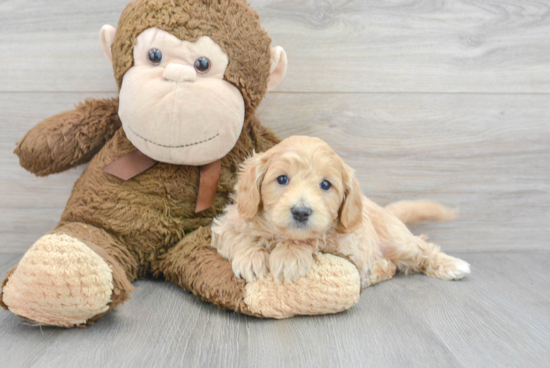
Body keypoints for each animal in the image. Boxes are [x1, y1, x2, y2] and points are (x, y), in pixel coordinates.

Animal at [211, 137, 470, 286]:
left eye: (326, 184)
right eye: (282, 179)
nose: (301, 212)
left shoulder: (342, 242)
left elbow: (313, 239)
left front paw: (288, 256)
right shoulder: (226, 225)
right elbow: (237, 236)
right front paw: (251, 257)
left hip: (398, 242)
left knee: (423, 247)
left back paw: (452, 265)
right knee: (391, 265)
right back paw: (375, 272)